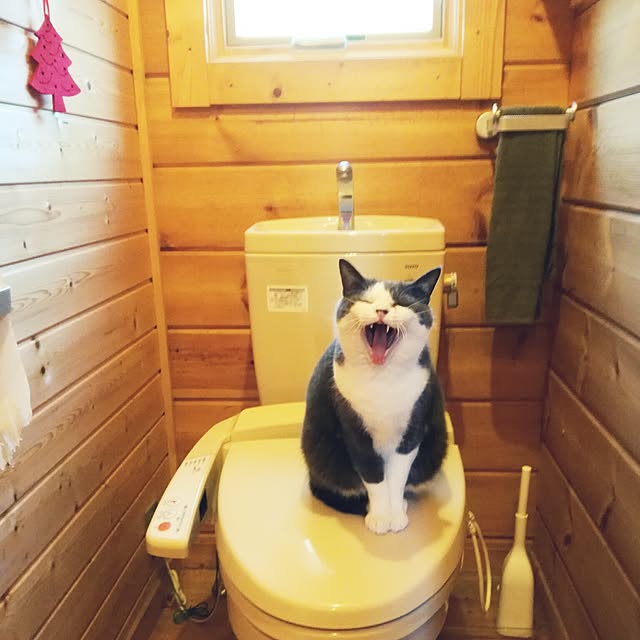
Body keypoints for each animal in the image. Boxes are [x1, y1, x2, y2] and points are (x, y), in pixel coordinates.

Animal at [302, 259, 448, 535]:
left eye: (399, 303)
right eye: (367, 301)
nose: (381, 310)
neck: (383, 380)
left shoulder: (413, 428)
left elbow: (397, 476)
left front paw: (395, 514)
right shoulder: (354, 431)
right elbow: (373, 475)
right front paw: (380, 517)